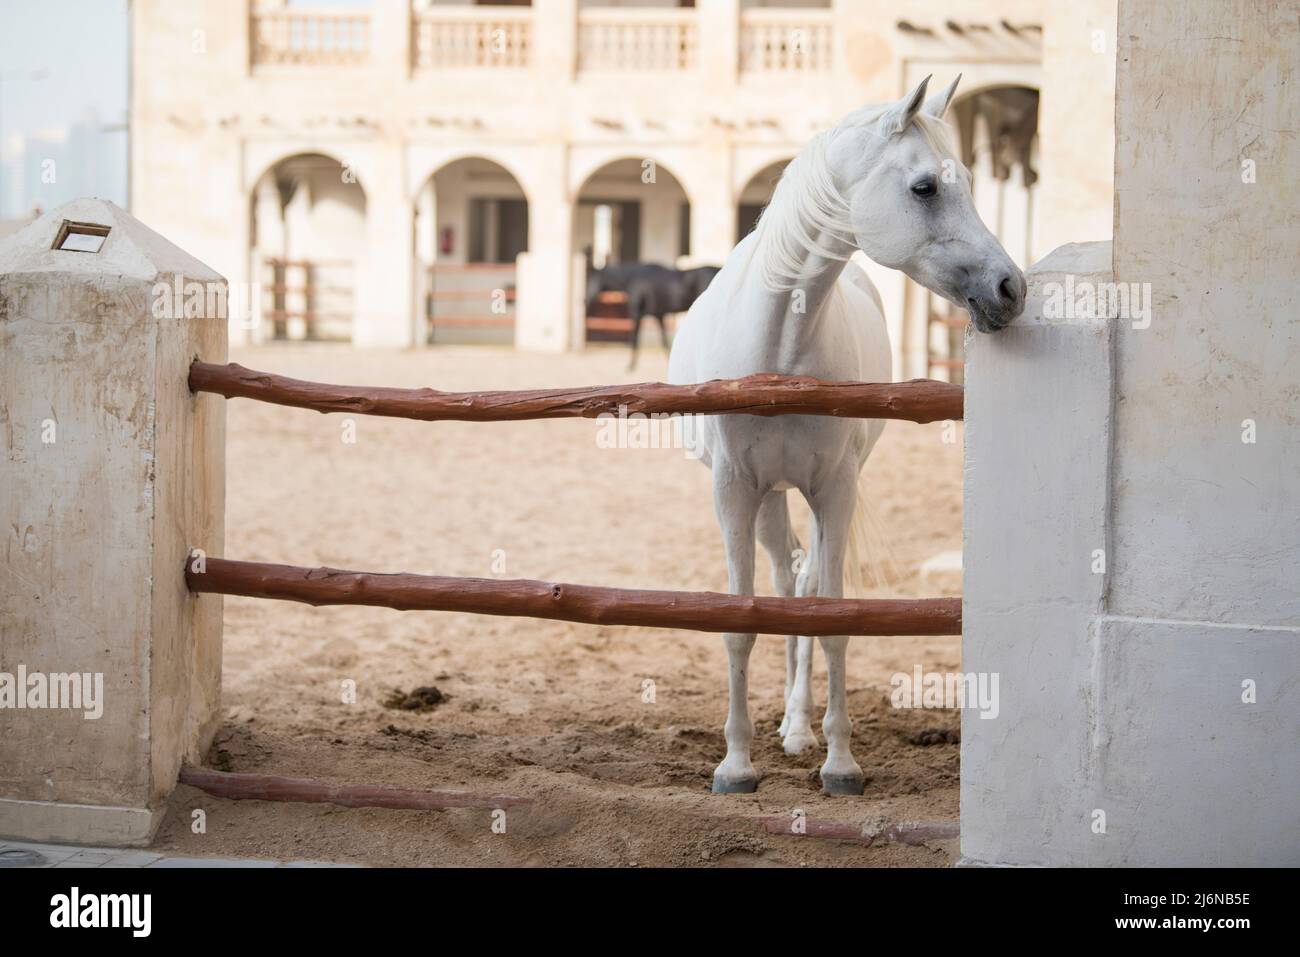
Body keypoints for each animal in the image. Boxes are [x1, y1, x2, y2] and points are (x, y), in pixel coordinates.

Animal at [586, 263, 721, 370]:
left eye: (591, 280)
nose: (584, 299)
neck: (633, 279)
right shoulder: (659, 315)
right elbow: (664, 341)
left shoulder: (637, 314)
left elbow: (635, 339)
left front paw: (631, 366)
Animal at [667, 75, 1025, 795]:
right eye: (925, 187)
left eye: (971, 181)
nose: (1011, 287)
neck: (779, 349)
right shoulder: (733, 492)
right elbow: (739, 622)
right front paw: (735, 764)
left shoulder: (834, 490)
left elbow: (834, 619)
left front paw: (838, 760)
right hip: (770, 497)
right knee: (785, 580)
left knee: (803, 586)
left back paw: (799, 727)